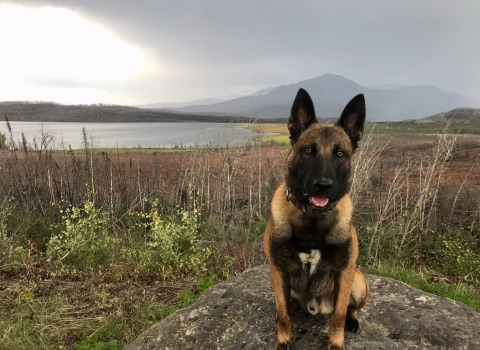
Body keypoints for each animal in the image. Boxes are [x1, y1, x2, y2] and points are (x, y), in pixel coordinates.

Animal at [262, 88, 372, 350]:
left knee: (349, 309)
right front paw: (283, 341)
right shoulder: (278, 271)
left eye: (340, 153)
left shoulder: (344, 270)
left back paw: (353, 321)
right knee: (287, 307)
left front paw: (336, 343)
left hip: (358, 284)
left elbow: (338, 315)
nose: (323, 186)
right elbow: (282, 315)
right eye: (308, 150)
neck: (312, 218)